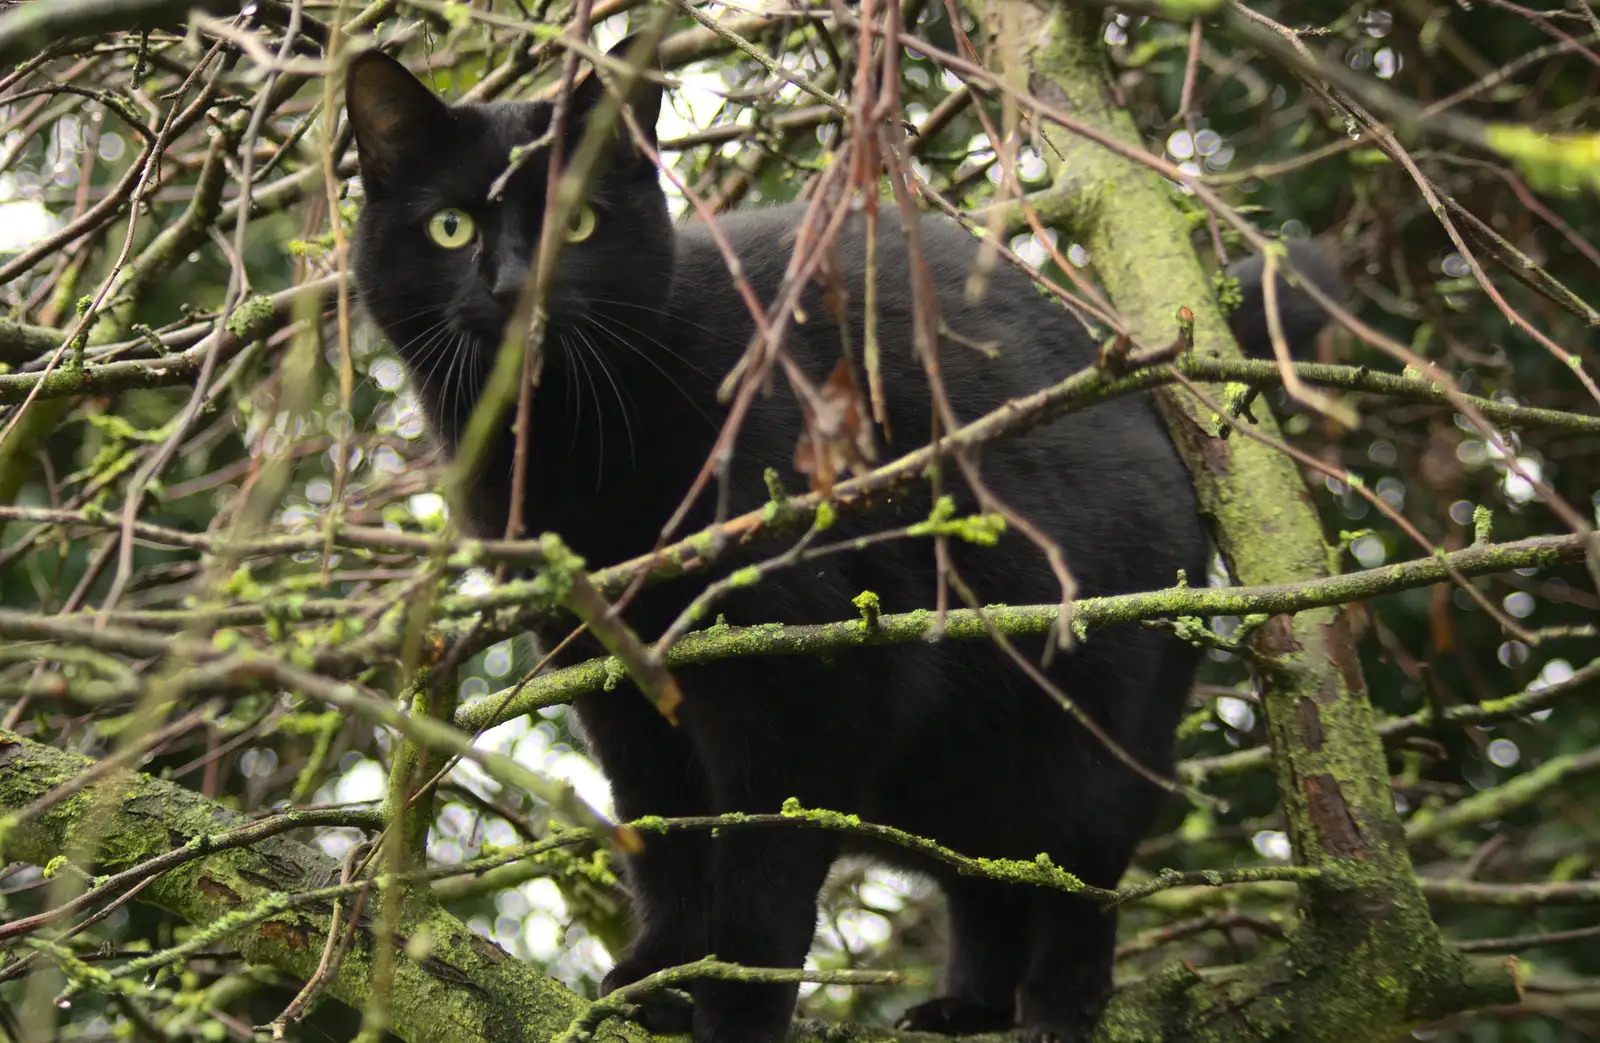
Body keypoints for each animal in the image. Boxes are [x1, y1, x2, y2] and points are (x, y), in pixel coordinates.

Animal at [347, 36, 1337, 1036]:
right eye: (451, 228)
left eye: (578, 222)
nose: (517, 286)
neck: (565, 448)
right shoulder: (616, 684)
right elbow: (664, 836)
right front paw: (661, 976)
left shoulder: (814, 677)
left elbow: (765, 868)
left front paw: (735, 1004)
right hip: (947, 772)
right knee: (987, 878)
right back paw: (965, 1007)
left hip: (1091, 724)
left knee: (1077, 870)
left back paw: (1060, 1003)